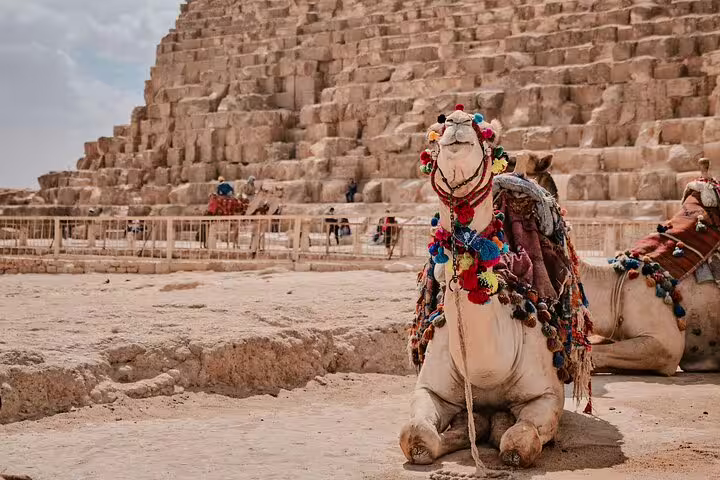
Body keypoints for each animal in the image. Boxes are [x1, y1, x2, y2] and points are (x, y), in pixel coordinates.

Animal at [399, 106, 592, 475]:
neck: (487, 368)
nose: (457, 120)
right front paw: (462, 431)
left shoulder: (547, 396)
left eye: (488, 132)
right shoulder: (429, 388)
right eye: (436, 129)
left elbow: (519, 442)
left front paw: (502, 430)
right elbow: (415, 434)